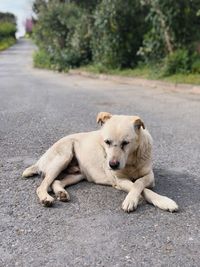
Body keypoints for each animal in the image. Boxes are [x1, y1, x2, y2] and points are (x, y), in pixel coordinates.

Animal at [22, 113, 179, 214]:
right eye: (107, 142)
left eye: (125, 143)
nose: (112, 165)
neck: (131, 161)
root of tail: (41, 158)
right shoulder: (119, 180)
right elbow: (139, 187)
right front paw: (133, 199)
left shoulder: (150, 176)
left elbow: (139, 182)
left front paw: (162, 201)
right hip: (63, 157)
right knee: (42, 185)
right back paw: (46, 198)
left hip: (78, 174)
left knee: (56, 182)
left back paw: (61, 193)